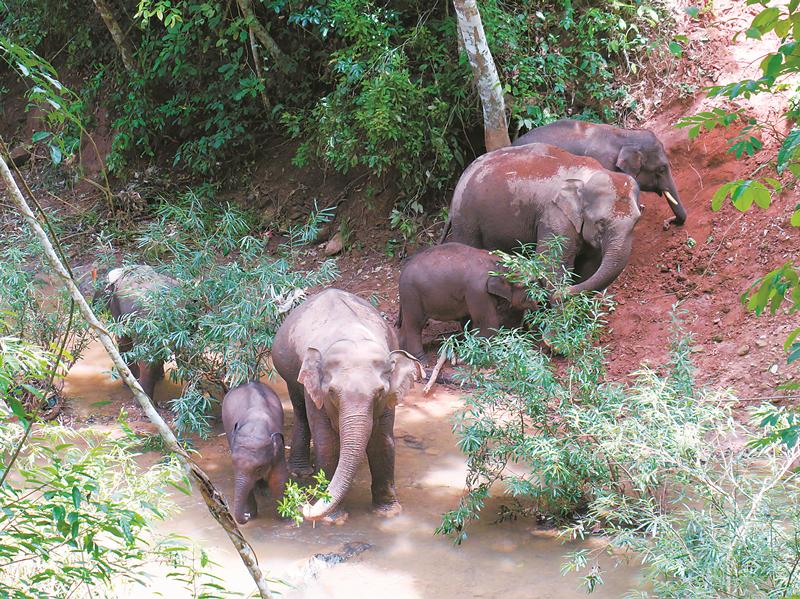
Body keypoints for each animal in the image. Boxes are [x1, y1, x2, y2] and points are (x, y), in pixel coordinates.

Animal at [222, 384, 288, 524]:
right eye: (233, 464)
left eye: (259, 468)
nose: (246, 515)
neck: (256, 422)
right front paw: (252, 515)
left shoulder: (279, 449)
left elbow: (278, 477)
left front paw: (286, 519)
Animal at [272, 288, 422, 524]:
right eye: (332, 392)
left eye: (379, 392)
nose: (304, 504)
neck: (353, 336)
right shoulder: (316, 392)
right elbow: (326, 442)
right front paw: (335, 519)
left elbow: (382, 440)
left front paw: (388, 512)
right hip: (288, 369)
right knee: (300, 412)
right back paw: (301, 472)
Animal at [396, 243, 536, 364]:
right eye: (525, 285)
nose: (537, 303)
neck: (495, 261)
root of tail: (402, 270)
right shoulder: (478, 291)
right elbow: (487, 323)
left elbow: (468, 321)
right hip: (412, 295)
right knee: (414, 325)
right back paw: (422, 361)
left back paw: (403, 353)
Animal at [444, 145, 644, 296]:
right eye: (600, 223)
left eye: (636, 222)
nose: (562, 292)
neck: (589, 174)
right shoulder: (555, 217)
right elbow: (553, 265)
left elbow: (590, 267)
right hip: (466, 219)